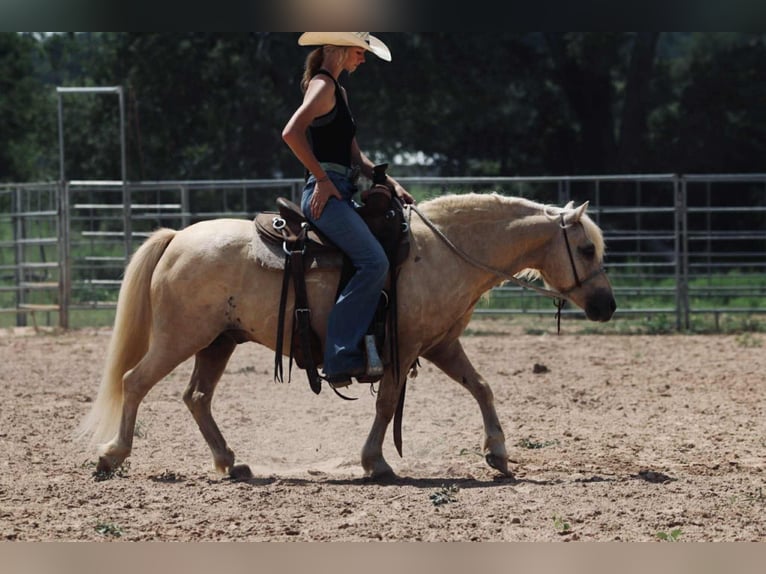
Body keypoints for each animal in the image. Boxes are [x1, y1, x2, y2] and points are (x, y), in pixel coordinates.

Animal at [75, 192, 616, 481]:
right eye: (587, 249)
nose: (607, 306)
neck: (443, 251)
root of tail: (177, 239)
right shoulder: (403, 350)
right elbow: (387, 405)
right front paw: (375, 462)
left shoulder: (440, 344)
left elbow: (481, 387)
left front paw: (498, 453)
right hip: (179, 338)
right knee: (134, 381)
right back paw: (112, 455)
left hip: (218, 342)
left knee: (197, 397)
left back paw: (231, 463)